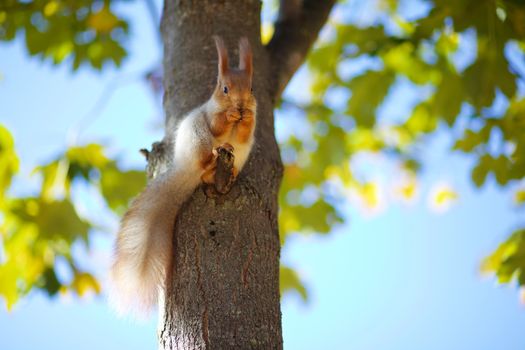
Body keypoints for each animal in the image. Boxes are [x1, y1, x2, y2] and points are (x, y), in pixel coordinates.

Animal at [109, 36, 256, 318]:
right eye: (224, 88)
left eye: (251, 88)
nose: (241, 105)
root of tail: (186, 169)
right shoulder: (210, 115)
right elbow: (218, 124)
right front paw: (231, 115)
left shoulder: (247, 133)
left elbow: (245, 131)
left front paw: (246, 117)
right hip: (198, 140)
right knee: (206, 158)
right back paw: (214, 157)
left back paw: (229, 172)